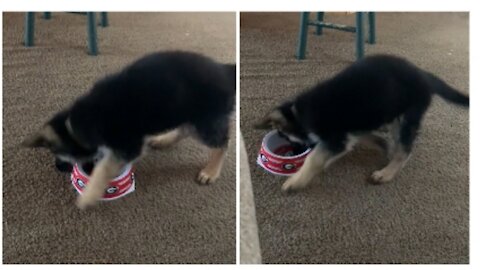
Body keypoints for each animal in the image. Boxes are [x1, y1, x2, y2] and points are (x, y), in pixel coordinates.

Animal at [22, 50, 236, 209]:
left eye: (65, 155)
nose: (58, 166)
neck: (84, 121)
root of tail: (225, 70)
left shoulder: (128, 145)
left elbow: (105, 167)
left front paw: (89, 194)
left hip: (205, 120)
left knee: (222, 142)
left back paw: (211, 171)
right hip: (189, 114)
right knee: (185, 129)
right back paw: (164, 139)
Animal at [255, 53, 468, 192]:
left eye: (288, 139)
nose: (292, 154)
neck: (300, 114)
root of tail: (423, 75)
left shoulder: (336, 138)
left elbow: (314, 158)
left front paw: (296, 181)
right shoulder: (351, 130)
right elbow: (367, 138)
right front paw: (383, 145)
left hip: (408, 117)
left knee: (405, 150)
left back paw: (386, 173)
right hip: (393, 111)